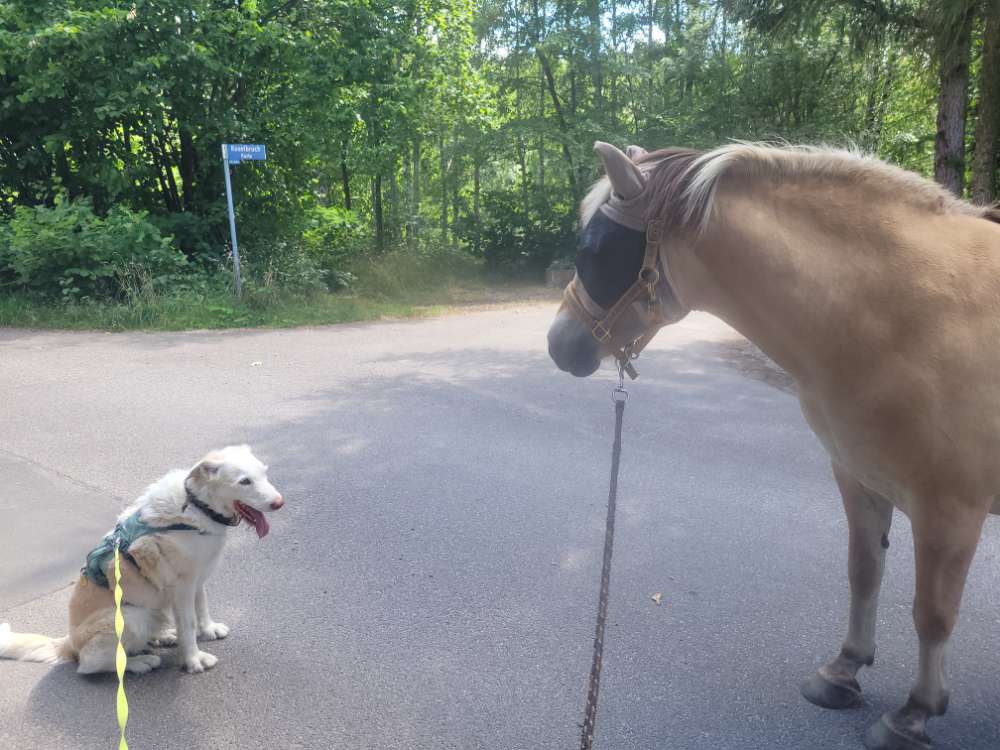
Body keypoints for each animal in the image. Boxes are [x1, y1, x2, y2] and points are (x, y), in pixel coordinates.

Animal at [0, 444, 284, 680]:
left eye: (264, 474)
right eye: (245, 482)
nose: (279, 503)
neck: (196, 507)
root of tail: (69, 643)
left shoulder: (198, 577)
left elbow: (202, 606)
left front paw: (209, 629)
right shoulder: (183, 588)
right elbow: (189, 624)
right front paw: (193, 660)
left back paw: (162, 637)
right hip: (130, 616)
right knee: (91, 665)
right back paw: (140, 663)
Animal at [548, 142, 1000, 750]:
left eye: (593, 249)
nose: (558, 344)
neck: (911, 314)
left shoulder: (950, 510)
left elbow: (932, 613)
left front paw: (914, 714)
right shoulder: (859, 477)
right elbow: (863, 572)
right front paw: (843, 670)